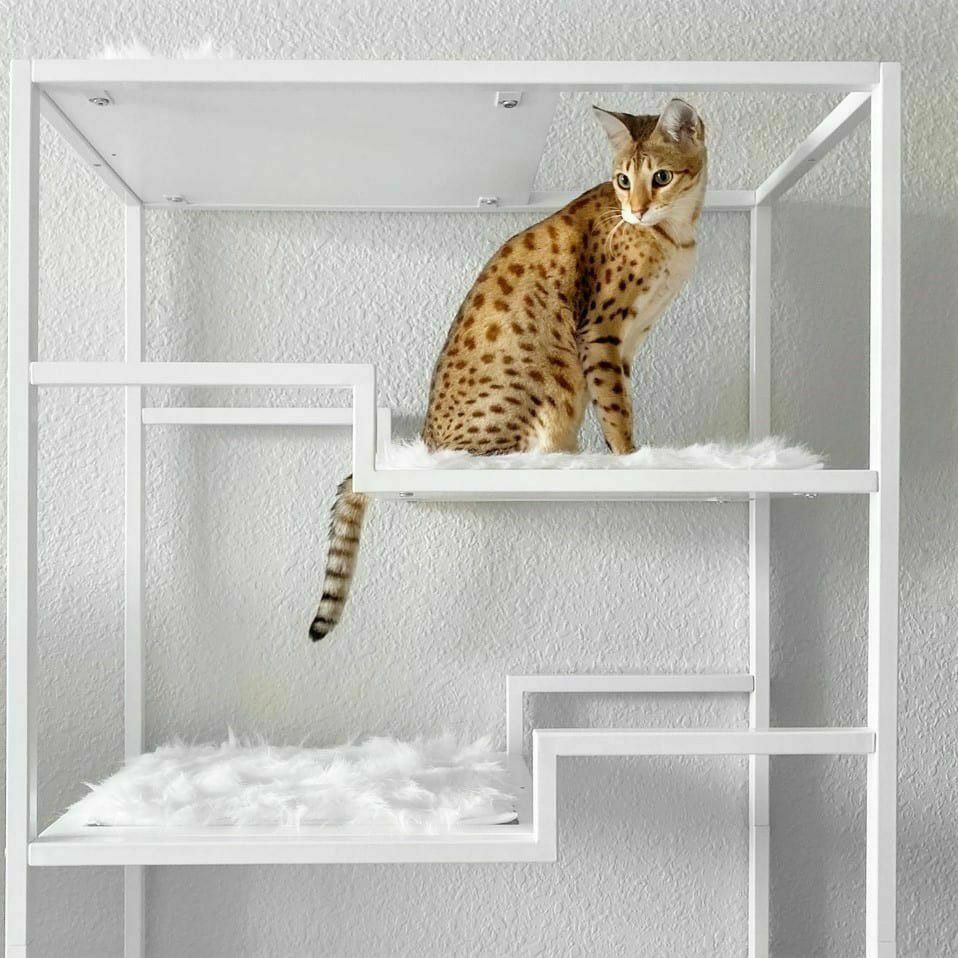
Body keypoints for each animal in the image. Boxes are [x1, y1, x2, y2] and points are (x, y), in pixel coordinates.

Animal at [310, 98, 707, 641]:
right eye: (623, 180)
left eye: (660, 176)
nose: (637, 209)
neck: (674, 236)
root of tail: (424, 443)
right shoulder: (602, 332)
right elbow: (616, 409)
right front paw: (631, 459)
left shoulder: (624, 343)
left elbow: (616, 403)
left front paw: (622, 456)